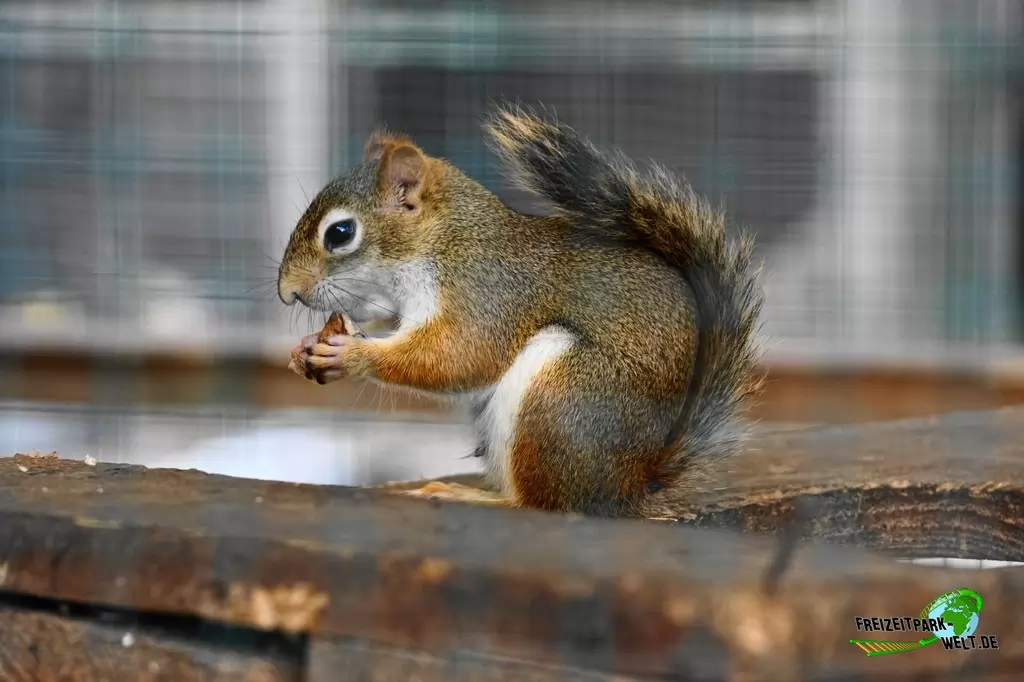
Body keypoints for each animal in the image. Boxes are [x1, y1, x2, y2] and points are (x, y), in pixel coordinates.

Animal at [278, 104, 764, 518]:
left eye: (341, 233)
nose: (287, 293)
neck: (443, 240)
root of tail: (625, 489)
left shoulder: (486, 292)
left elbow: (462, 355)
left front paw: (351, 354)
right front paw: (307, 347)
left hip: (561, 395)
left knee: (542, 505)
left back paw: (471, 497)